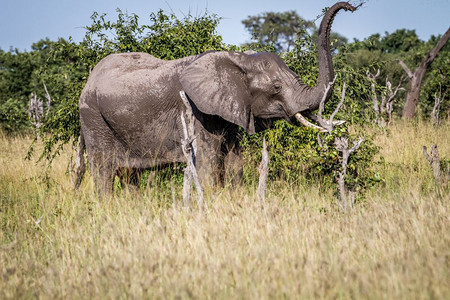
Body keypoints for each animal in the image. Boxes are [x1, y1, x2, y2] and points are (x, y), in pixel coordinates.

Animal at [75, 1, 356, 195]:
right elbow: (208, 164)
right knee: (103, 171)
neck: (238, 59)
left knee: (129, 175)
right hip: (93, 118)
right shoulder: (196, 112)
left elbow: (234, 163)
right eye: (276, 87)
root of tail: (89, 79)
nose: (352, 7)